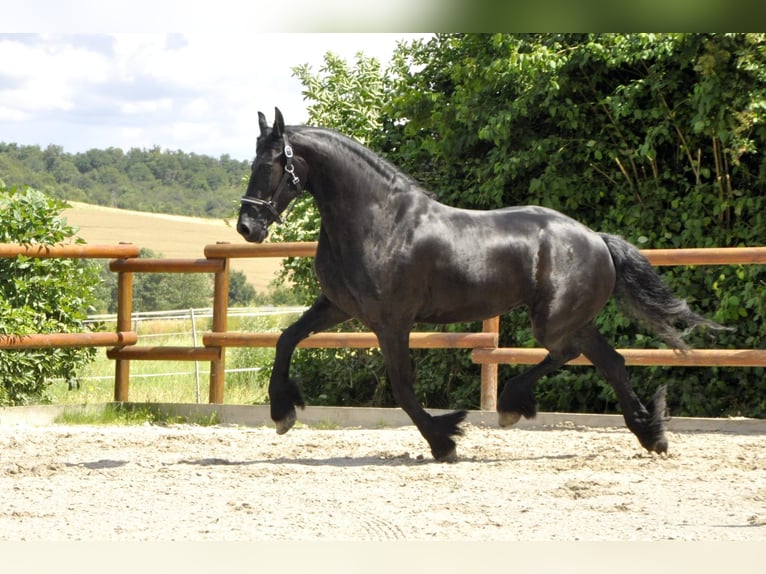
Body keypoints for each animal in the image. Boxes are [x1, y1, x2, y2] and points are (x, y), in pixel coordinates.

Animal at [237, 108, 728, 464]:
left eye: (274, 163)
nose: (247, 226)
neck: (380, 220)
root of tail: (596, 239)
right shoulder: (338, 307)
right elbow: (286, 339)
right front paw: (282, 413)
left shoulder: (391, 321)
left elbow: (402, 386)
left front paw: (444, 441)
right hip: (572, 318)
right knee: (612, 362)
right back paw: (652, 436)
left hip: (552, 321)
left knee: (569, 354)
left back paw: (513, 404)